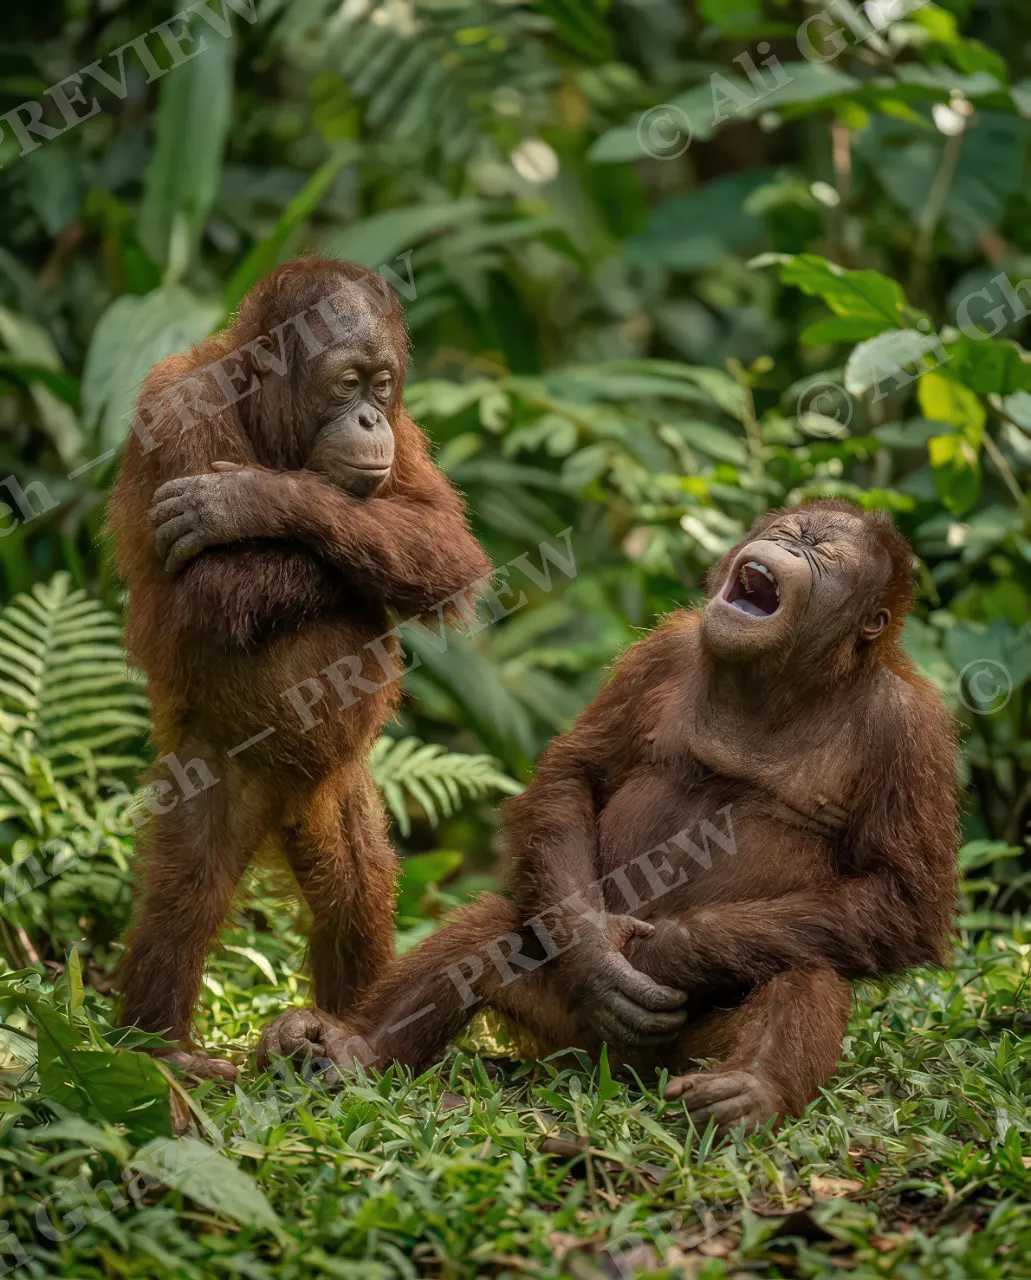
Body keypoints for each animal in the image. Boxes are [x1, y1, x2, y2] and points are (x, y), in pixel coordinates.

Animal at [106, 257, 491, 1079]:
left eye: (381, 385)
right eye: (345, 384)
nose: (370, 421)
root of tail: (282, 802)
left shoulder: (406, 441)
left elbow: (443, 542)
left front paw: (255, 498)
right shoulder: (176, 408)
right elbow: (205, 591)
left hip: (334, 789)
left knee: (358, 886)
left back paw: (348, 1034)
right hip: (215, 769)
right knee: (185, 893)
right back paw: (162, 1050)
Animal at [258, 500, 959, 1134]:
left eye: (825, 554)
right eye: (791, 531)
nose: (789, 545)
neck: (774, 682)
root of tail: (618, 1072)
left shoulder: (911, 730)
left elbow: (900, 897)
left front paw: (672, 950)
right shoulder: (663, 652)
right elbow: (578, 776)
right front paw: (597, 954)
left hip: (686, 1051)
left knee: (806, 967)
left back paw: (748, 1094)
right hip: (563, 1027)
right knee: (492, 927)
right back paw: (350, 1051)